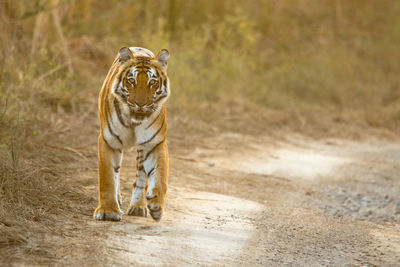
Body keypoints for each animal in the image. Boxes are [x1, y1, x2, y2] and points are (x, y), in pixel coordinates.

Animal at [94, 47, 171, 223]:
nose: (140, 104)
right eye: (131, 81)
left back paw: (138, 207)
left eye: (152, 82)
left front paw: (156, 204)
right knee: (116, 173)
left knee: (141, 178)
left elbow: (161, 175)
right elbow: (107, 178)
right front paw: (108, 211)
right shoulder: (108, 141)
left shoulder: (154, 144)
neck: (133, 121)